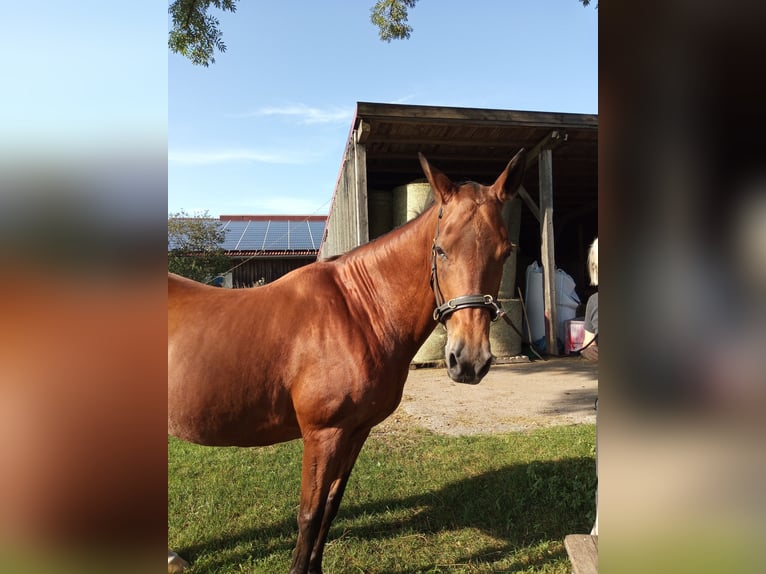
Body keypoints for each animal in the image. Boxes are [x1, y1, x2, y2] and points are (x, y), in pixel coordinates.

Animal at [168, 151, 528, 572]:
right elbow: (309, 516)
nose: (468, 360)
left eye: (506, 252)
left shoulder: (355, 432)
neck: (358, 311)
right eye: (441, 249)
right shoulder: (323, 434)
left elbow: (330, 508)